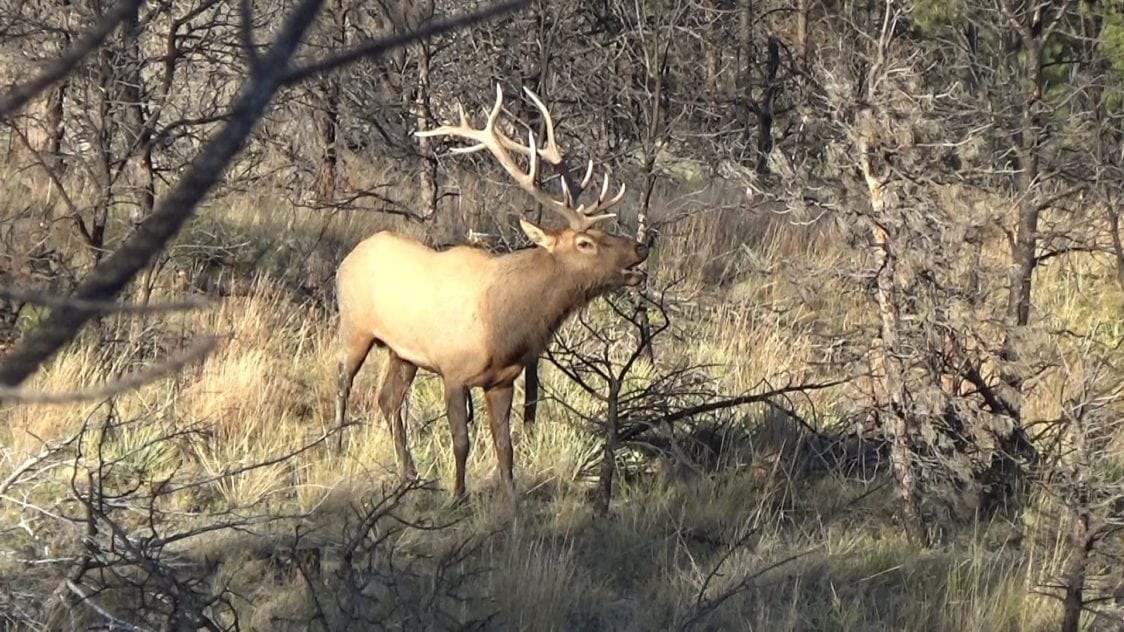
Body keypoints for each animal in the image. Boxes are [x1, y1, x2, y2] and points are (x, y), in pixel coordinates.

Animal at [332, 84, 651, 506]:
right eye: (585, 242)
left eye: (603, 232)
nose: (641, 247)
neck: (504, 325)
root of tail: (348, 257)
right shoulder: (452, 371)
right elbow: (462, 441)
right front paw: (458, 497)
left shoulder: (503, 379)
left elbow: (505, 445)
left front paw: (512, 501)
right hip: (355, 326)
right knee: (343, 381)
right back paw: (336, 450)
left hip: (403, 353)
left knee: (388, 399)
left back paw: (409, 473)